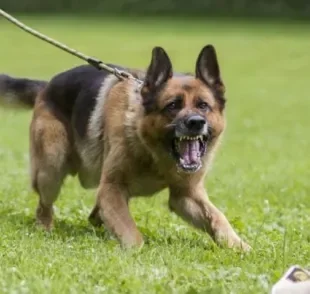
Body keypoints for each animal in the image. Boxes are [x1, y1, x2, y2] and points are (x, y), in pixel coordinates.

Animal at [0, 45, 251, 250]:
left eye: (203, 105)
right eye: (172, 106)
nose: (196, 122)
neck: (153, 154)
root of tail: (47, 86)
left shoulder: (186, 195)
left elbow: (218, 218)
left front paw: (239, 246)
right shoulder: (111, 189)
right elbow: (132, 235)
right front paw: (137, 253)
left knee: (93, 214)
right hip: (51, 167)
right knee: (44, 205)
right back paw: (46, 229)